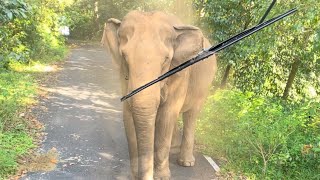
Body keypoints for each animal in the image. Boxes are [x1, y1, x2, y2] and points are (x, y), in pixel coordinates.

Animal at [102, 10, 218, 179]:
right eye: (124, 57)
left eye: (166, 60)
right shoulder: (123, 75)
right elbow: (128, 116)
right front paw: (135, 174)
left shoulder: (180, 73)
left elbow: (166, 115)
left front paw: (162, 177)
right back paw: (174, 147)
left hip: (203, 88)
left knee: (191, 115)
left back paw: (186, 162)